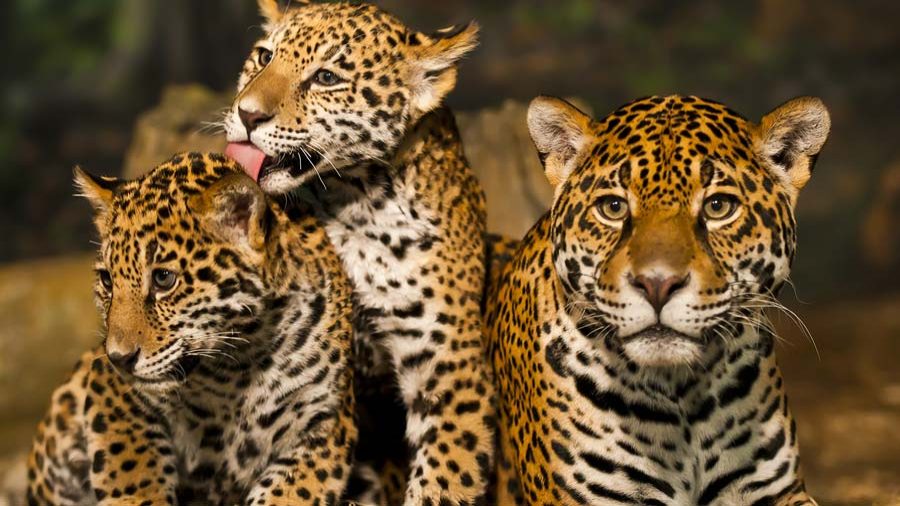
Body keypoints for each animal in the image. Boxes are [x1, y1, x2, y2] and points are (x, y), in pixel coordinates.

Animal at [27, 153, 357, 505]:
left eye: (163, 279)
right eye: (107, 280)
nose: (119, 359)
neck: (241, 363)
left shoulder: (325, 423)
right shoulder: (112, 393)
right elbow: (132, 471)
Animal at [223, 2, 496, 504]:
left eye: (326, 77)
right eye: (264, 56)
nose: (247, 115)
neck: (352, 200)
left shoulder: (451, 365)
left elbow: (444, 478)